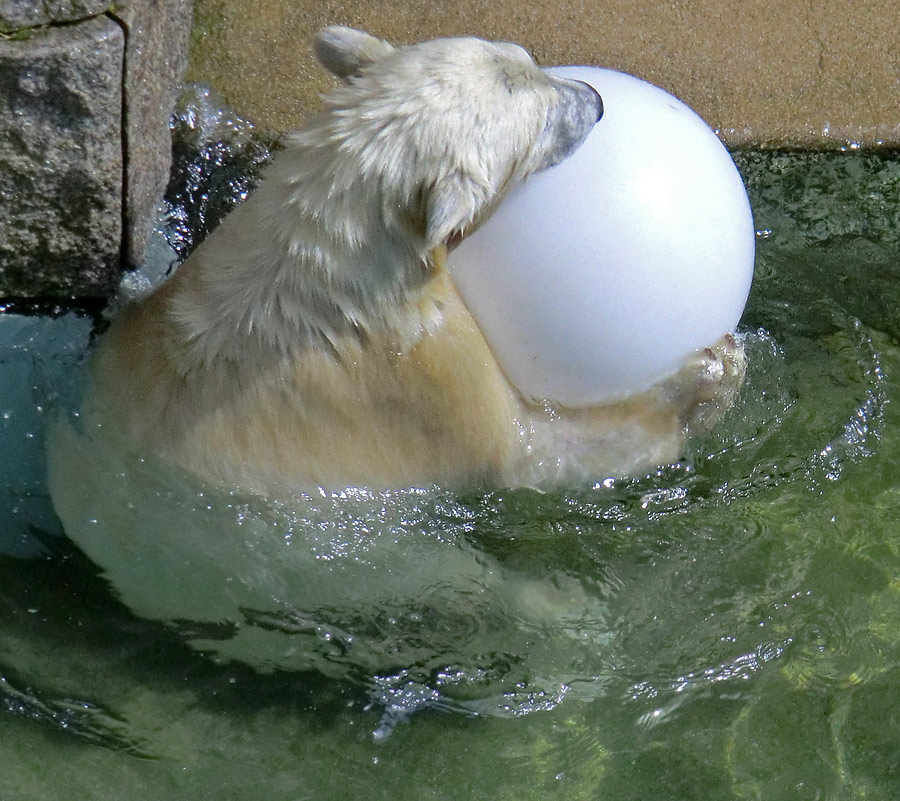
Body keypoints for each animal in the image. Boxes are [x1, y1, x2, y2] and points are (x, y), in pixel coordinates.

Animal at [75, 26, 744, 494]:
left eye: (528, 57)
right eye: (538, 130)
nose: (595, 98)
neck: (323, 275)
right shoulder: (419, 381)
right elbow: (532, 452)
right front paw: (711, 372)